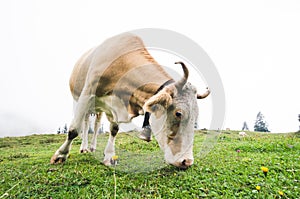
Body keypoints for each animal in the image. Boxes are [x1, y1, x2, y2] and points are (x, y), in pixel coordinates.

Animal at [50, 32, 210, 168]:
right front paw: (60, 155)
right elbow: (73, 129)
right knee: (84, 123)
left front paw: (109, 156)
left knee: (95, 126)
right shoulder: (87, 93)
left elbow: (114, 130)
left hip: (99, 109)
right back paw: (83, 147)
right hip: (80, 100)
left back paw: (92, 147)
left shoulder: (115, 106)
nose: (187, 161)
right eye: (178, 113)